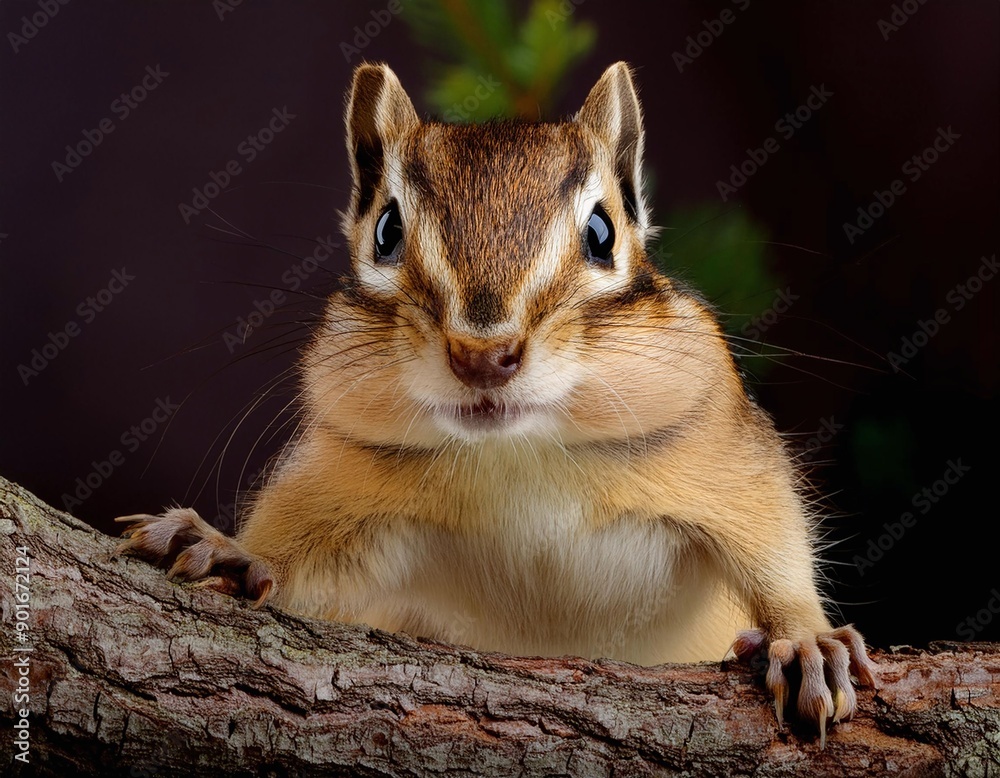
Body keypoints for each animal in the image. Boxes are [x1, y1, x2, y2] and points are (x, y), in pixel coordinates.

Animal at [118, 61, 875, 745]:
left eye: (602, 233)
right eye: (386, 230)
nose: (483, 354)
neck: (518, 457)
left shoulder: (727, 459)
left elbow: (774, 548)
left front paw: (804, 640)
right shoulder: (337, 484)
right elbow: (297, 556)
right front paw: (228, 550)